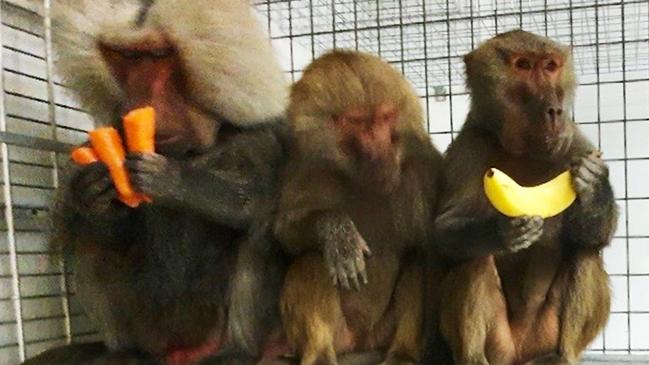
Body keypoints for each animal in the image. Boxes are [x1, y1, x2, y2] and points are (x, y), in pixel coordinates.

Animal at [270, 49, 442, 364]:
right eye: (357, 122)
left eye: (385, 118)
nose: (381, 155)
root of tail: (362, 340)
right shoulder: (309, 170)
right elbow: (288, 237)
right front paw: (338, 235)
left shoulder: (421, 171)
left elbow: (430, 251)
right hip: (341, 335)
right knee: (312, 259)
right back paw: (319, 354)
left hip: (384, 330)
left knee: (417, 257)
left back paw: (402, 354)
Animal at [430, 29, 616, 364]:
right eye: (524, 66)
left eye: (551, 66)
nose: (554, 111)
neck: (524, 149)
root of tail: (520, 353)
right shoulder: (469, 147)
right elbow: (445, 233)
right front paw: (500, 230)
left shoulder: (574, 140)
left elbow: (596, 234)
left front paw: (594, 185)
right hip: (500, 344)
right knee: (473, 261)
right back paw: (474, 358)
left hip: (546, 334)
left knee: (585, 253)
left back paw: (562, 355)